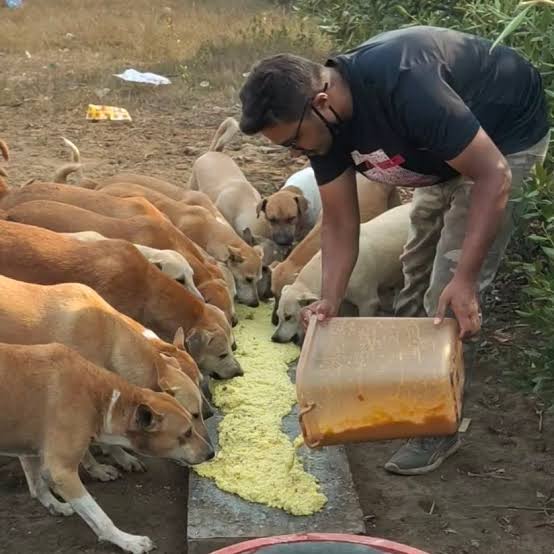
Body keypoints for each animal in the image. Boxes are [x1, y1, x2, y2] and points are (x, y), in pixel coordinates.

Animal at [0, 338, 212, 548]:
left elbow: (38, 484)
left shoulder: (30, 449)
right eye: (187, 432)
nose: (211, 452)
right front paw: (128, 541)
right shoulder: (61, 472)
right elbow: (100, 518)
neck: (100, 398)